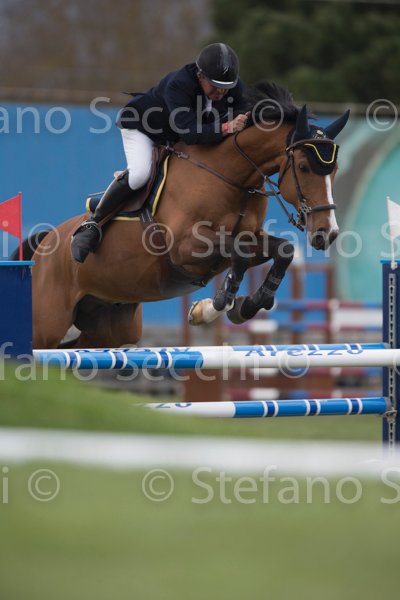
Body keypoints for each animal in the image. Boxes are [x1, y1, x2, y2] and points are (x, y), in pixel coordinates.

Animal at [23, 82, 349, 349]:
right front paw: (217, 304)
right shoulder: (185, 247)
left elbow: (282, 251)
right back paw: (84, 239)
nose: (327, 233)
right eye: (304, 167)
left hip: (113, 327)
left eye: (334, 169)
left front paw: (246, 306)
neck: (234, 180)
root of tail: (45, 243)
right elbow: (240, 255)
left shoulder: (248, 238)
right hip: (46, 324)